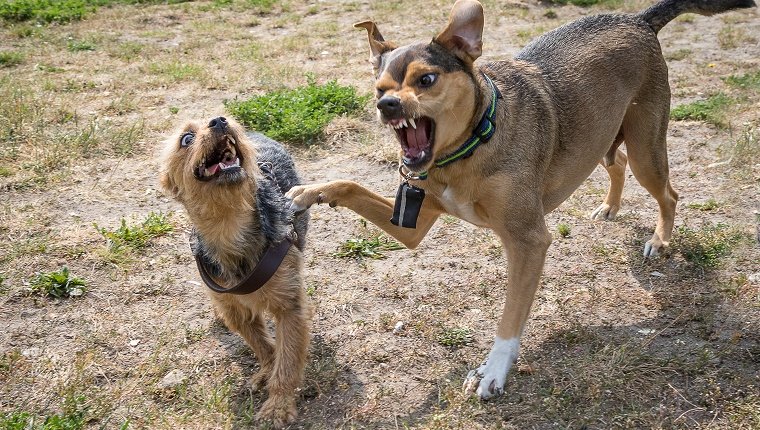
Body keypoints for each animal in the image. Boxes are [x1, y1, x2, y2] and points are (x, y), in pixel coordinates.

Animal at [284, 0, 756, 400]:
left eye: (426, 79)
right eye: (379, 87)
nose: (387, 106)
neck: (469, 147)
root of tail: (638, 19)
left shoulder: (528, 241)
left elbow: (509, 320)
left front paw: (493, 370)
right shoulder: (413, 224)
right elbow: (350, 185)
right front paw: (309, 192)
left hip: (646, 147)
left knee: (668, 193)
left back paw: (660, 241)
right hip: (605, 137)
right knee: (616, 162)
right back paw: (610, 207)